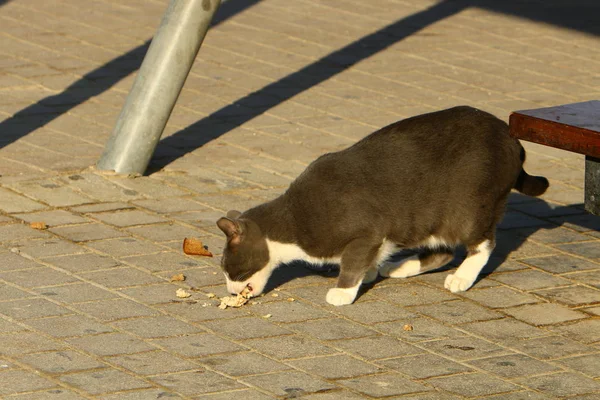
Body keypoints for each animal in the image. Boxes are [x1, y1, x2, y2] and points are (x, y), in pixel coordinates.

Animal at [216, 104, 548, 304]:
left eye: (229, 268)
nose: (229, 289)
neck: (291, 224)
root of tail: (511, 137)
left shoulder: (365, 232)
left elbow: (352, 262)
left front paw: (343, 292)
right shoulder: (379, 237)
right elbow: (369, 259)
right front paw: (372, 272)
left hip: (467, 208)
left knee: (482, 244)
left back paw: (462, 277)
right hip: (428, 219)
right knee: (442, 251)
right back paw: (400, 267)